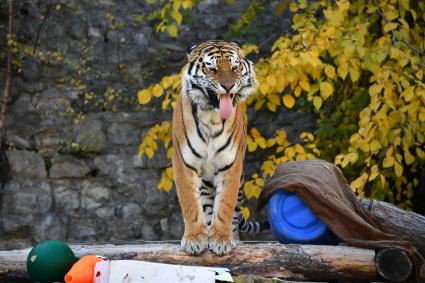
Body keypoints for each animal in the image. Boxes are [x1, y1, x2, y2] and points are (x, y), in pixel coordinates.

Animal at [170, 40, 266, 258]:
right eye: (212, 68)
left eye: (234, 67)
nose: (228, 86)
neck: (211, 116)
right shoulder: (184, 163)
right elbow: (190, 204)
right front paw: (195, 239)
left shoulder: (230, 165)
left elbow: (225, 206)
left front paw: (222, 240)